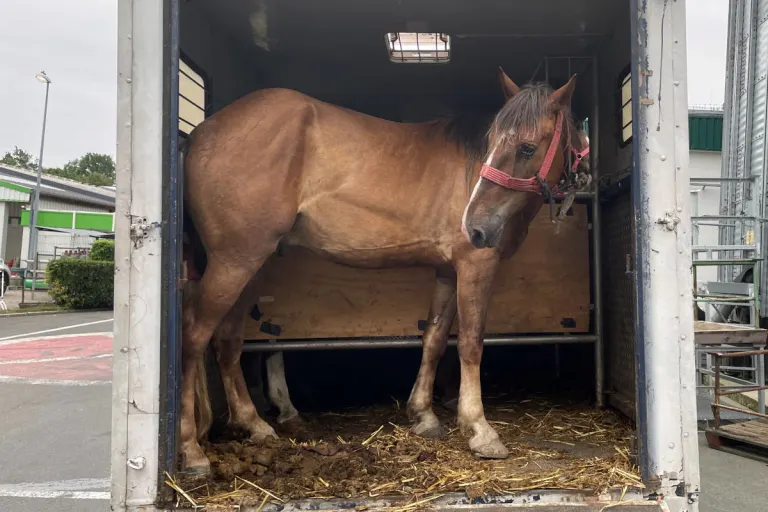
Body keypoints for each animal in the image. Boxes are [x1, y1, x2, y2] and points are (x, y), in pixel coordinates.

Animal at [180, 68, 584, 474]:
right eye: (492, 143)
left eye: (527, 148)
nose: (474, 226)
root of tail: (203, 131)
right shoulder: (475, 265)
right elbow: (471, 343)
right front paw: (479, 429)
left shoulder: (446, 270)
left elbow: (434, 339)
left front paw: (423, 415)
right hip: (234, 262)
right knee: (195, 335)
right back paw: (191, 450)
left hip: (249, 265)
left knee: (227, 340)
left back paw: (254, 424)